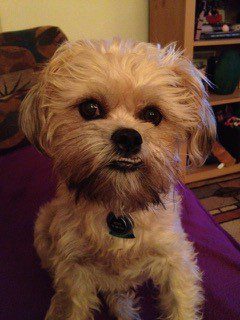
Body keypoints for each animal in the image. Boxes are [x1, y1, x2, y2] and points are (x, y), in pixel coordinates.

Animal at [19, 38, 216, 318]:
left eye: (153, 115)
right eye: (90, 108)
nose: (128, 137)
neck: (119, 203)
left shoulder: (176, 261)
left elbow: (181, 305)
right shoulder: (75, 270)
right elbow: (72, 304)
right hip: (44, 227)